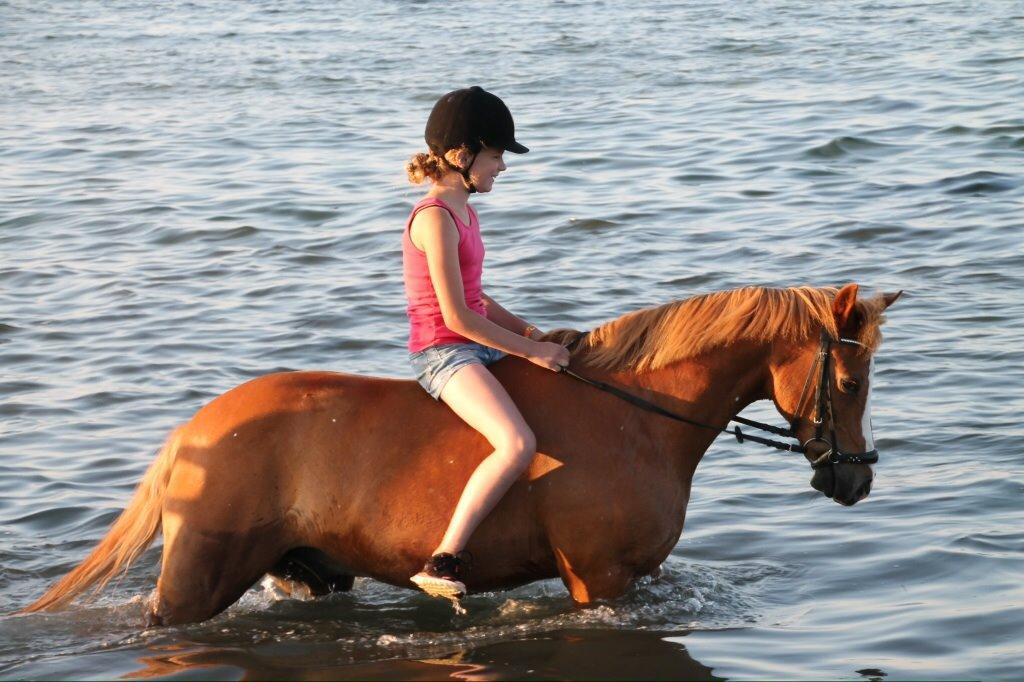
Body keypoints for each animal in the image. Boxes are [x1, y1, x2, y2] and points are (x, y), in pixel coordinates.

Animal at [18, 280, 897, 622]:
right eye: (851, 381)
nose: (855, 481)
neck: (639, 419)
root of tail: (192, 433)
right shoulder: (600, 579)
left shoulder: (634, 579)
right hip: (197, 582)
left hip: (305, 571)